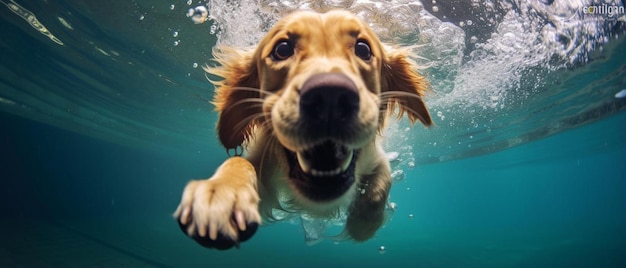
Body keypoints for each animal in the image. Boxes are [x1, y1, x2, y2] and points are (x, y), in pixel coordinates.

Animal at [173, 9, 432, 249]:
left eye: (363, 49)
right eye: (282, 49)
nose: (329, 97)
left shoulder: (375, 156)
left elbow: (381, 181)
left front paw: (363, 221)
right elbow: (239, 162)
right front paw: (220, 195)